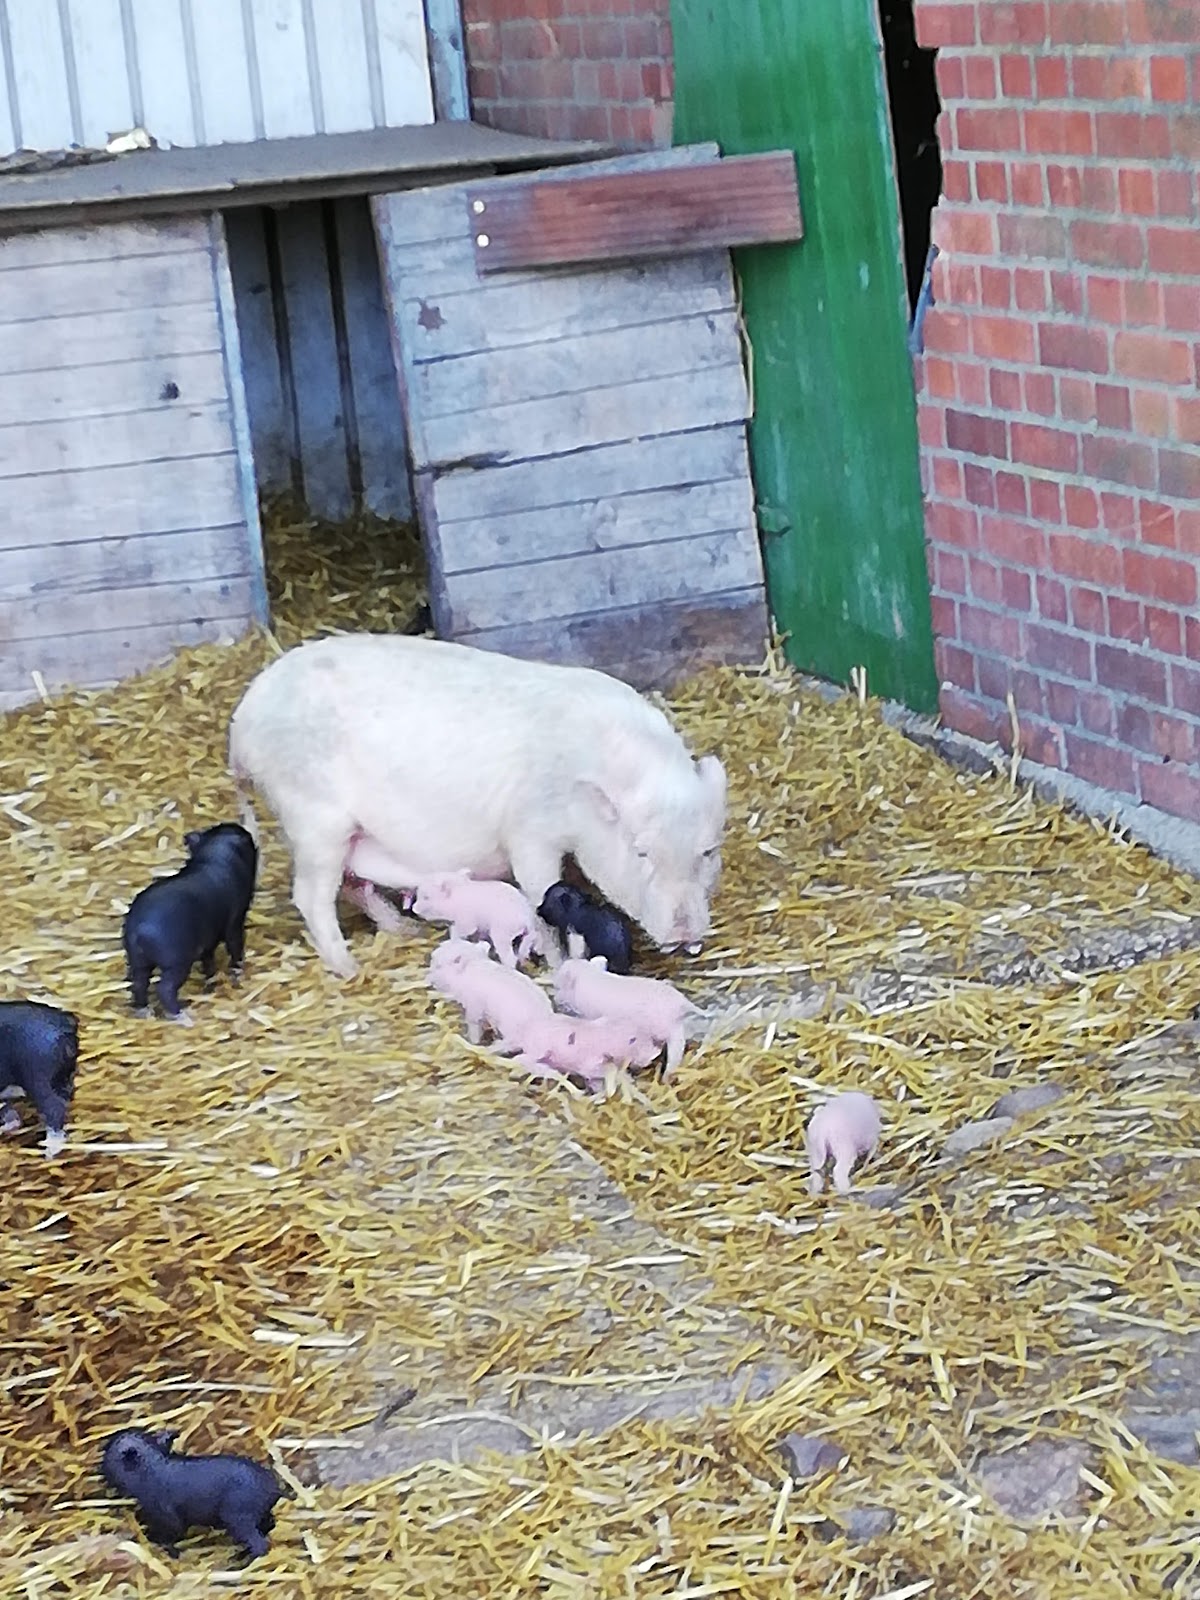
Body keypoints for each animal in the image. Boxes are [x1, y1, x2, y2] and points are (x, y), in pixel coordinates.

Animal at [100, 1428, 285, 1560]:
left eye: (108, 1453)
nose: (99, 1469)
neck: (151, 1469)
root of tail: (273, 1488)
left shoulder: (167, 1516)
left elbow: (169, 1536)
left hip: (239, 1517)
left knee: (260, 1545)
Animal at [122, 823, 258, 1024]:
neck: (215, 854)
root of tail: (139, 929)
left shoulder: (208, 940)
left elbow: (209, 959)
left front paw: (211, 979)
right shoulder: (235, 921)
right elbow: (235, 946)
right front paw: (238, 970)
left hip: (137, 960)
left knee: (138, 984)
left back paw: (145, 1012)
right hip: (176, 962)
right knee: (165, 988)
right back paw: (184, 1017)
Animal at [412, 872, 544, 968]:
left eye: (426, 897)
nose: (413, 908)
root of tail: (526, 919)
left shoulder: (467, 922)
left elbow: (456, 932)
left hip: (501, 933)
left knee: (510, 958)